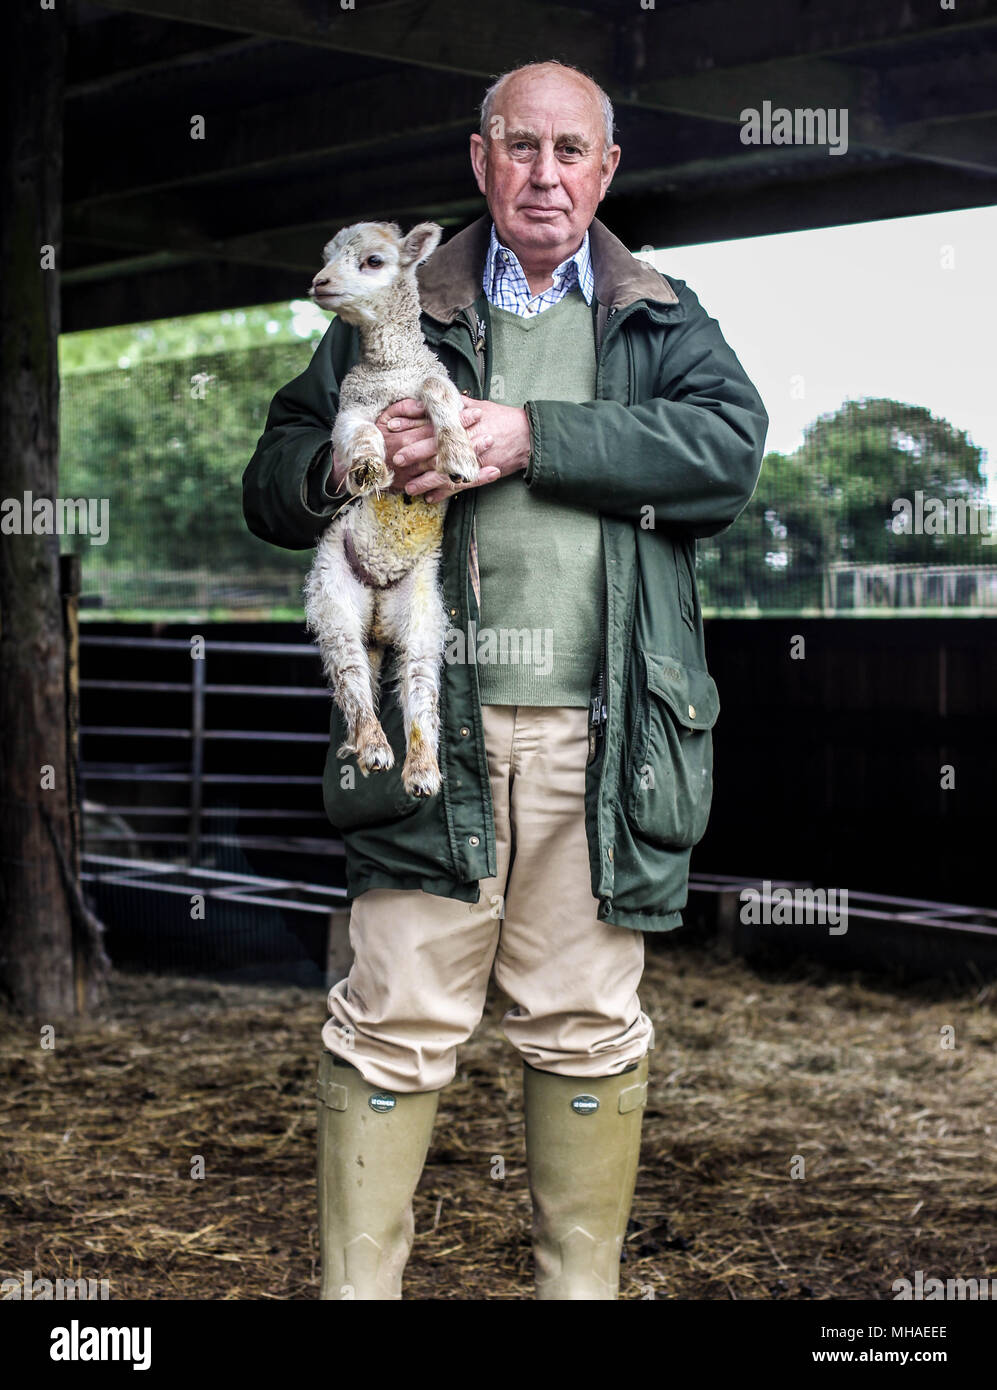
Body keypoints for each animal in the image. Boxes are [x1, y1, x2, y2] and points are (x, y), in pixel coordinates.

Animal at [298, 221, 478, 800]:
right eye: (327, 255)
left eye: (374, 261)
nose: (320, 283)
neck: (389, 370)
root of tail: (377, 618)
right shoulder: (352, 408)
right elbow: (360, 434)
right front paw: (369, 469)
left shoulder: (431, 381)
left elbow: (441, 391)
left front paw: (459, 458)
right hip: (333, 596)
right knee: (353, 678)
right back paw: (372, 747)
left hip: (422, 613)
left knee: (420, 689)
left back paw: (421, 772)